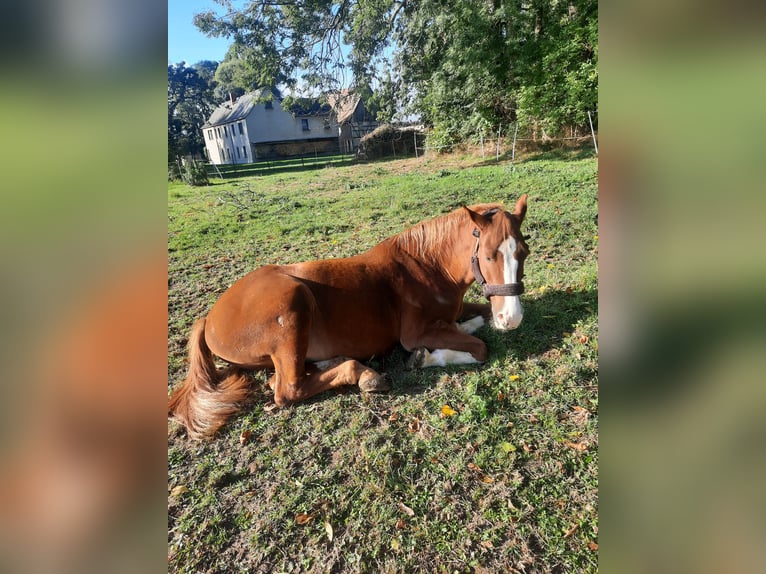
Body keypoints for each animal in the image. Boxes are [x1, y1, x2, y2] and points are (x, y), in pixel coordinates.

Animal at [169, 196, 532, 438]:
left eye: (524, 252)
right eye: (489, 255)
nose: (512, 318)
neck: (428, 266)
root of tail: (208, 319)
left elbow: (478, 317)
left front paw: (473, 322)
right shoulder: (415, 333)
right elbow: (479, 347)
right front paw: (425, 357)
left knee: (281, 378)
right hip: (293, 303)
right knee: (288, 388)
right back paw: (364, 375)